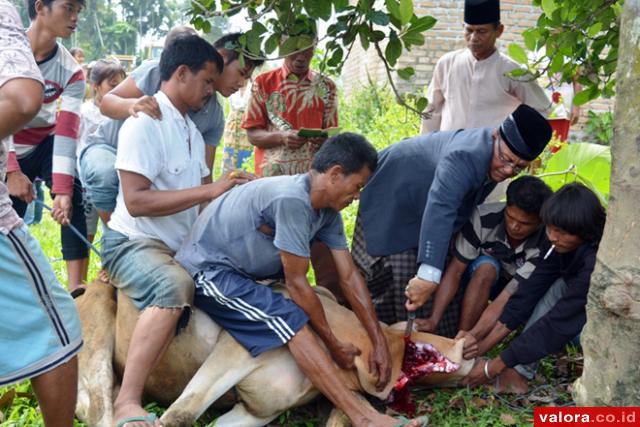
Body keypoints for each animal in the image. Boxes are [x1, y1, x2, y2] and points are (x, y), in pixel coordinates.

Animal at [76, 280, 476, 427]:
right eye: (415, 344)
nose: (466, 341)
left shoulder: (257, 410)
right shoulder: (235, 349)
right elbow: (180, 415)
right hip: (95, 328)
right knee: (98, 410)